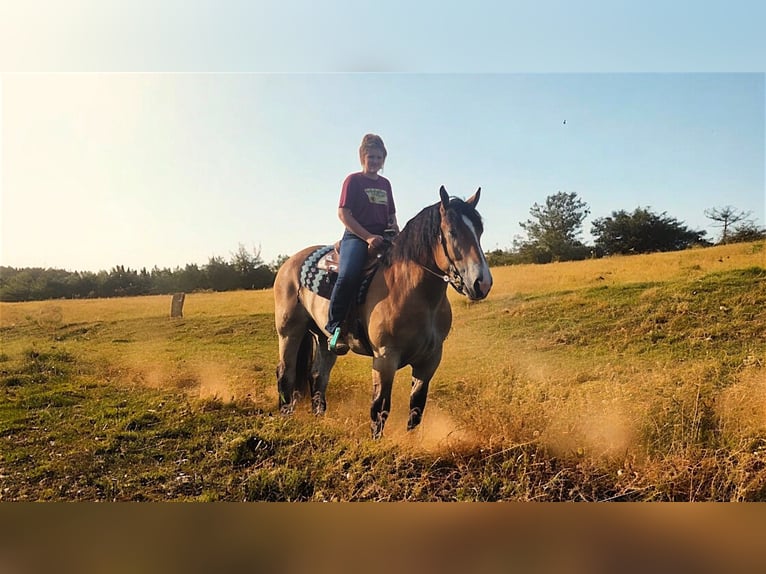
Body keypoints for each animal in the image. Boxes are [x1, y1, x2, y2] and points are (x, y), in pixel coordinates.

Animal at [272, 187, 496, 438]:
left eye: (479, 231)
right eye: (452, 231)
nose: (482, 283)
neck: (409, 291)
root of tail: (289, 263)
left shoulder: (430, 360)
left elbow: (416, 408)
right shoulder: (385, 358)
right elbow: (379, 409)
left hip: (324, 339)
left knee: (318, 376)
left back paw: (319, 419)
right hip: (289, 332)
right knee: (285, 373)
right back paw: (286, 418)